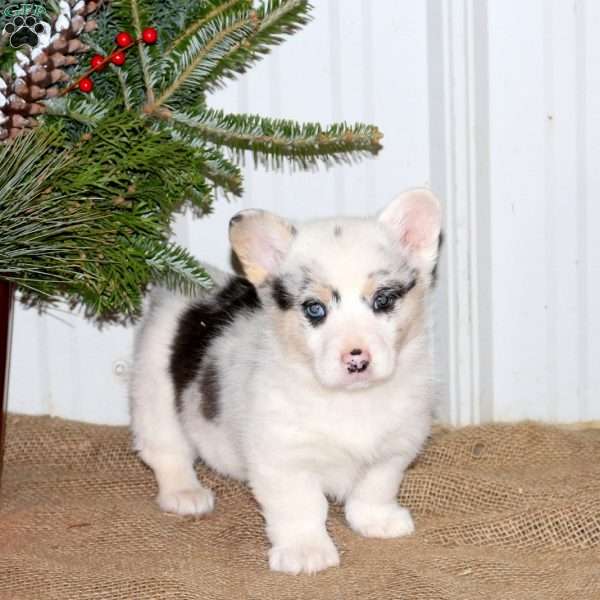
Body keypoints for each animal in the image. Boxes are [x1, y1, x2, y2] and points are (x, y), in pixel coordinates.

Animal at [130, 188, 440, 572]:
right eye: (315, 309)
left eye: (383, 300)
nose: (357, 359)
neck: (350, 399)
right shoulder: (283, 460)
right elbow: (302, 506)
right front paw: (306, 552)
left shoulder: (394, 450)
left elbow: (374, 488)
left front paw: (376, 521)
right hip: (153, 390)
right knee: (167, 451)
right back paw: (184, 493)